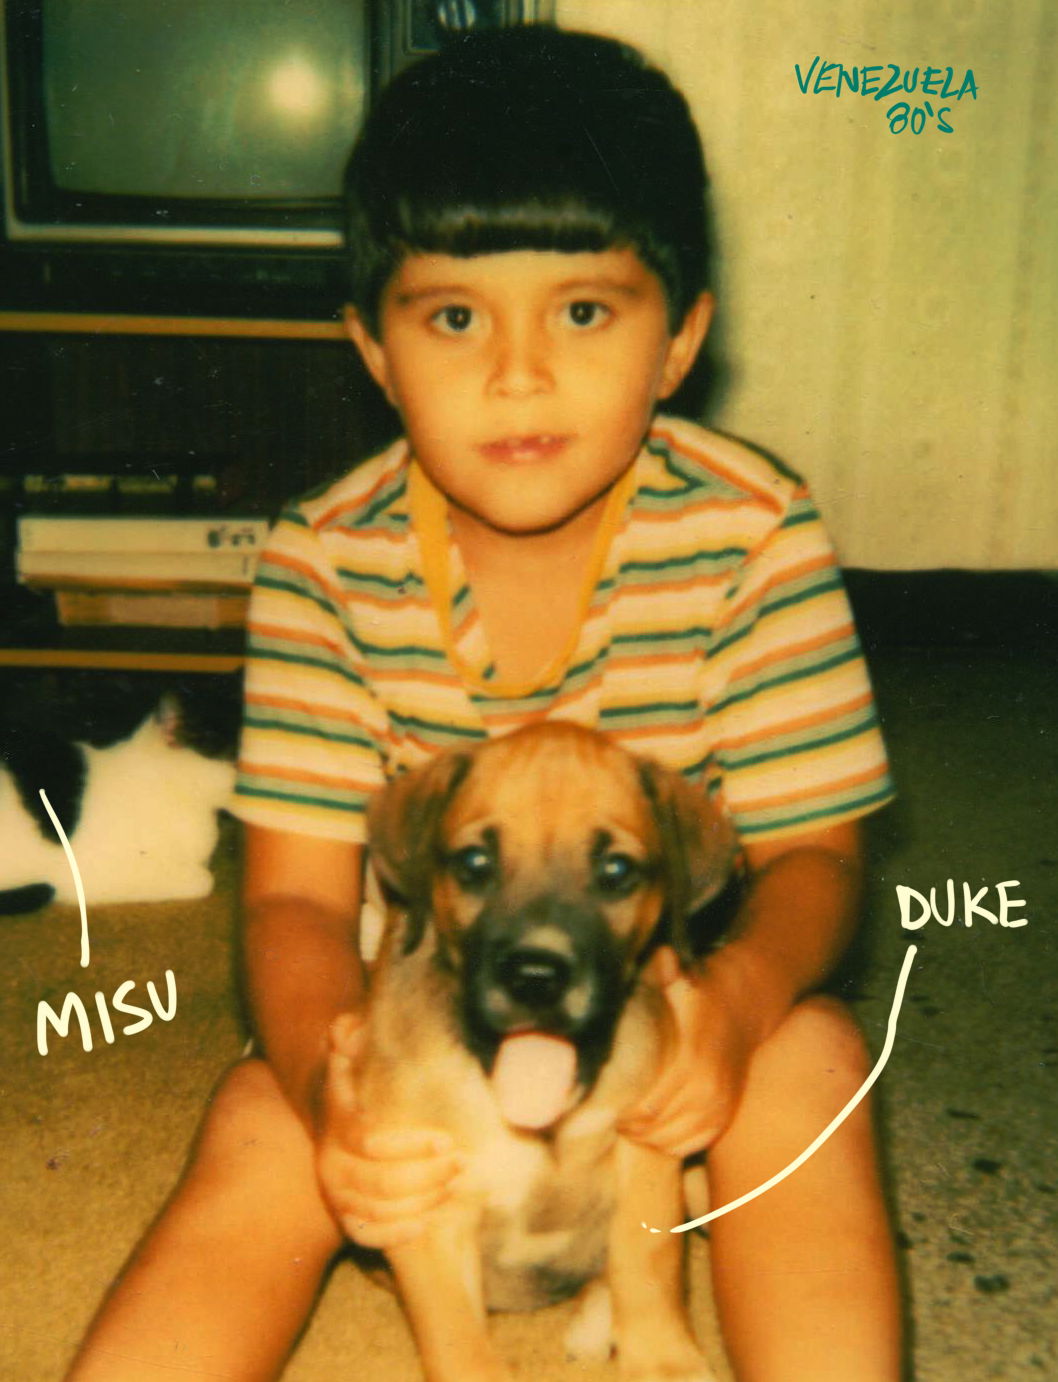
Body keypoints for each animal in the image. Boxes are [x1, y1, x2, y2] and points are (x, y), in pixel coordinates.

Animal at [348, 721, 735, 1382]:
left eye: (615, 870)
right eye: (474, 863)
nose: (535, 977)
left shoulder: (647, 1160)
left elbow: (648, 1271)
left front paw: (663, 1359)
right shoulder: (425, 1207)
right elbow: (459, 1342)